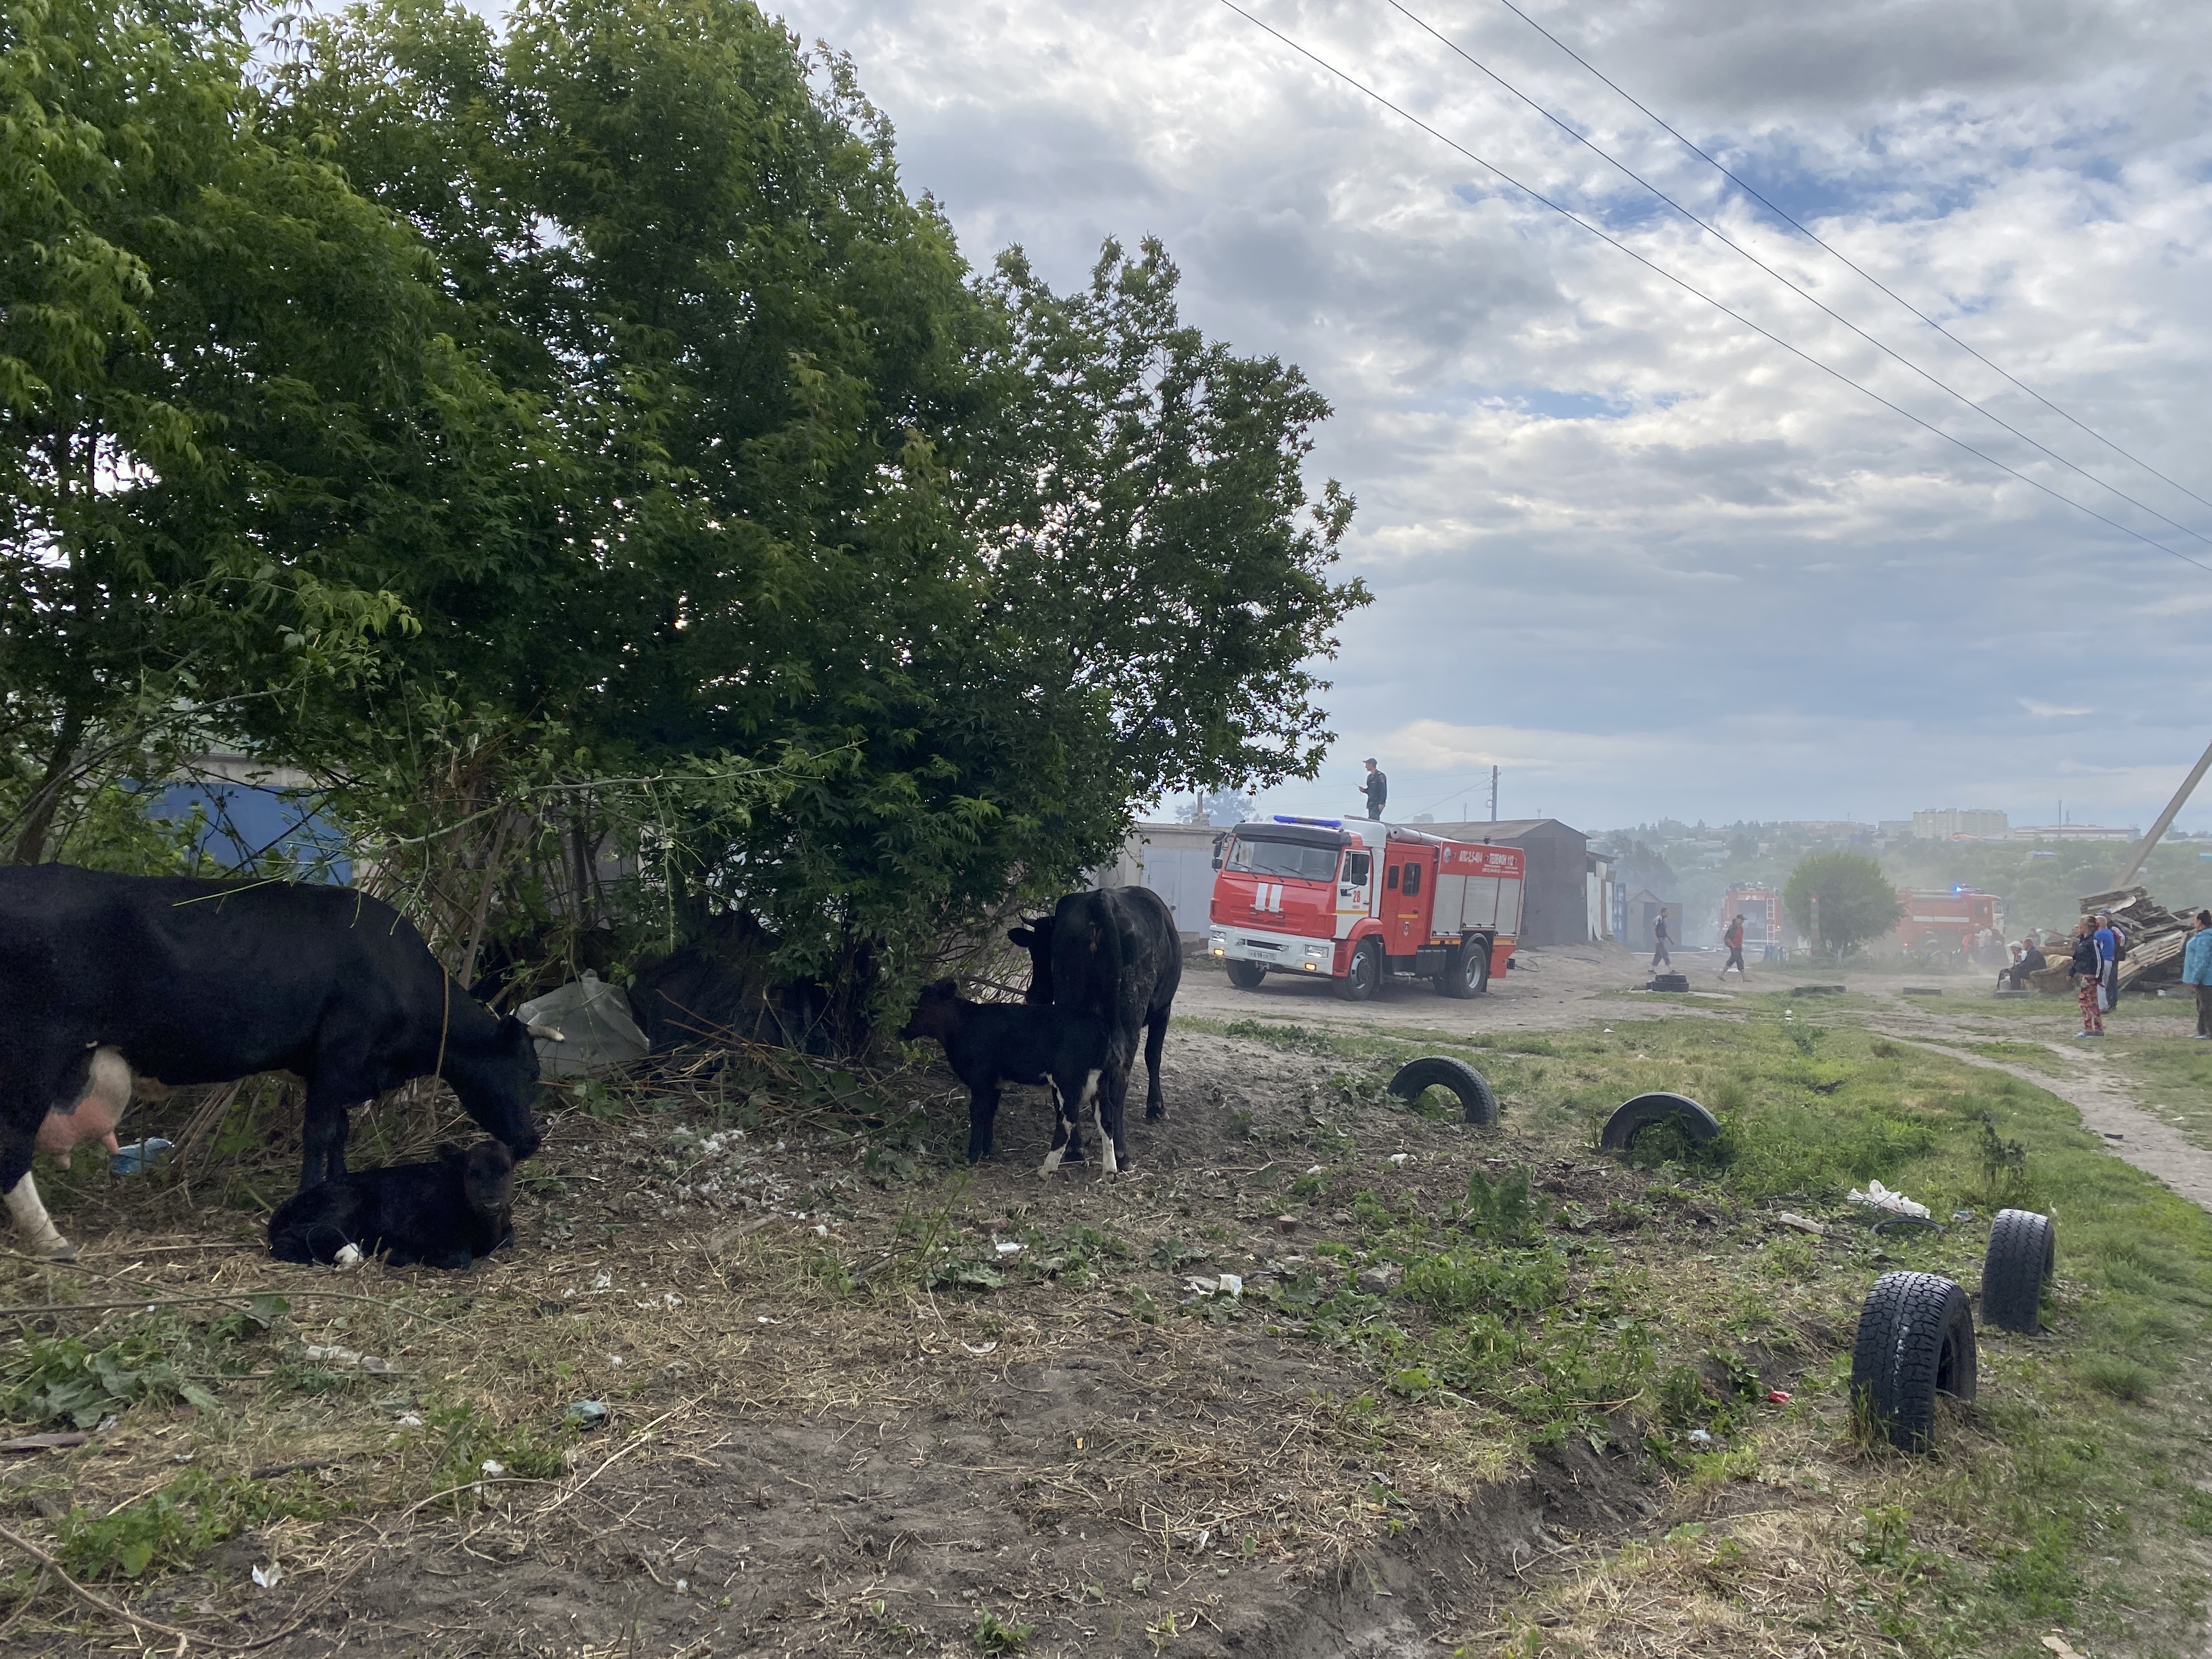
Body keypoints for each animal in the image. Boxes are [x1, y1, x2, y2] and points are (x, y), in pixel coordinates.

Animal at [0, 871, 553, 1256]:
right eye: (527, 1072)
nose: (530, 1140)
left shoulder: (336, 1071)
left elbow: (339, 1135)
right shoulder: (338, 1056)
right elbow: (319, 1134)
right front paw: (310, 1194)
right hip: (35, 1053)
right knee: (13, 1145)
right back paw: (51, 1243)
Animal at [267, 1141, 513, 1274]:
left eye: (507, 1171)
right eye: (472, 1172)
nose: (491, 1203)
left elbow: (510, 1237)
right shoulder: (420, 1230)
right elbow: (460, 1257)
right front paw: (399, 1254)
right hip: (345, 1204)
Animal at [893, 982, 1115, 1177]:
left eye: (919, 1006)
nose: (901, 1030)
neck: (964, 1024)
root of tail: (1098, 1025)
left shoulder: (980, 1079)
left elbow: (978, 1112)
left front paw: (972, 1156)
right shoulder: (994, 1082)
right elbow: (990, 1112)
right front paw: (987, 1150)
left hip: (1067, 1080)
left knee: (1067, 1120)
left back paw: (1047, 1170)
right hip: (1101, 1082)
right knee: (1106, 1118)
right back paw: (1110, 1172)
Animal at [1008, 889, 1186, 1177]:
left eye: (1039, 951)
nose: (1034, 996)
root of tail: (1101, 899)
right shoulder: (1164, 1009)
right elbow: (1153, 1057)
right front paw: (1157, 1107)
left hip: (1072, 1004)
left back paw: (1075, 1147)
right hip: (1130, 1014)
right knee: (1121, 1073)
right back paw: (1121, 1154)